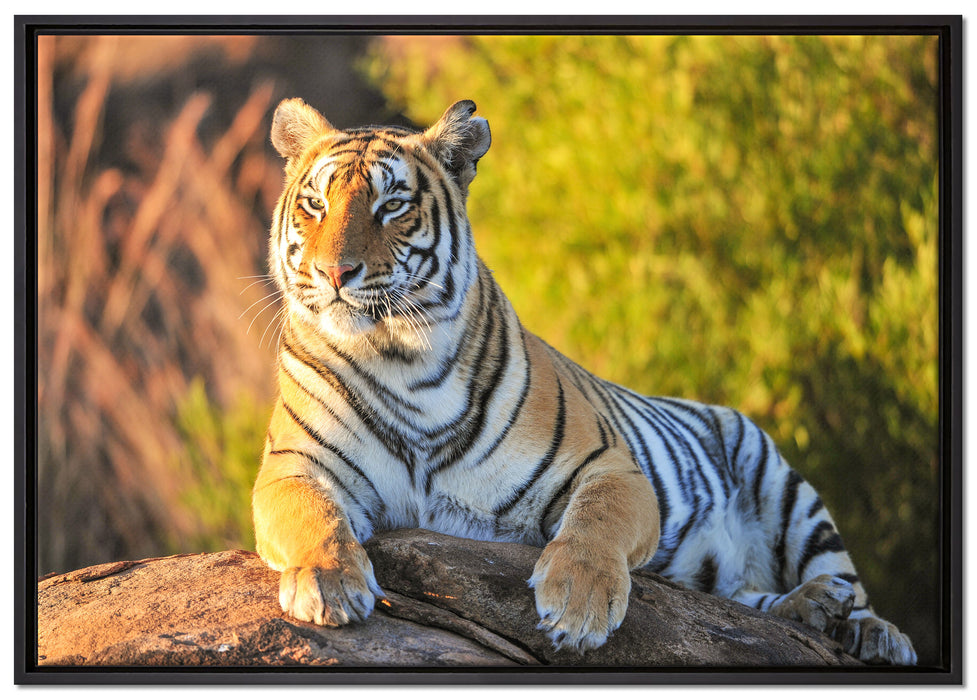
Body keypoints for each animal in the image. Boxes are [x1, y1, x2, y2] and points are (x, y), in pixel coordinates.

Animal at [251, 97, 917, 665]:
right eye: (315, 205)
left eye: (391, 205)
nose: (334, 271)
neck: (400, 360)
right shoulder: (293, 467)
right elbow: (313, 515)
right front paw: (328, 584)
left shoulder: (611, 467)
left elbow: (596, 523)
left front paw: (578, 605)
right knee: (741, 599)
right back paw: (814, 609)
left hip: (784, 487)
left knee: (846, 581)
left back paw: (868, 629)